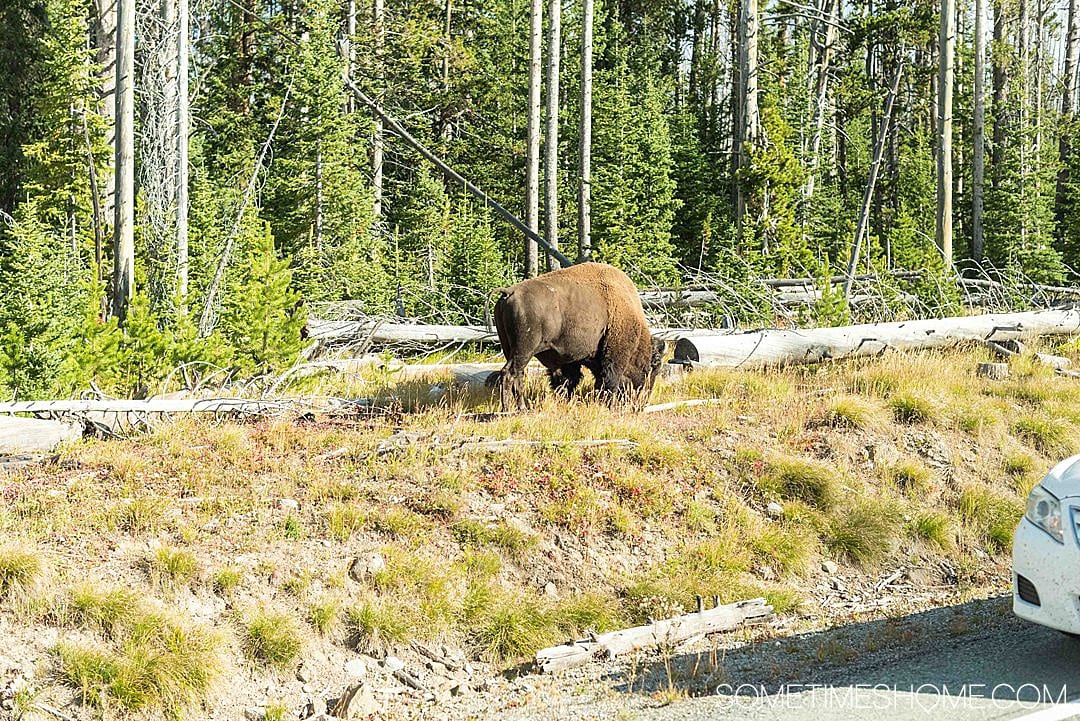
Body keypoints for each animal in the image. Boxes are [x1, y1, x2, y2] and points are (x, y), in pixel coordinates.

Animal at [486, 263, 660, 410]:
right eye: (651, 369)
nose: (642, 402)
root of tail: (510, 292)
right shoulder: (614, 357)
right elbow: (609, 380)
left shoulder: (570, 359)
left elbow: (569, 380)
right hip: (524, 350)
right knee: (509, 374)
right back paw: (512, 409)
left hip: (509, 348)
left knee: (518, 375)